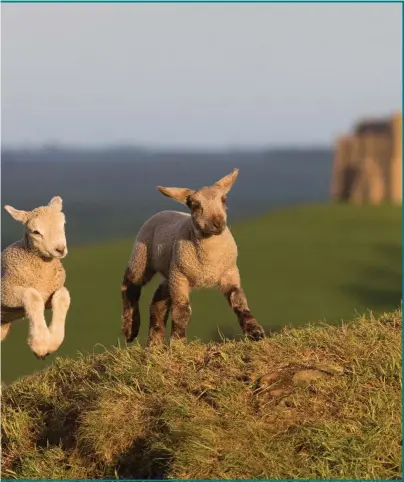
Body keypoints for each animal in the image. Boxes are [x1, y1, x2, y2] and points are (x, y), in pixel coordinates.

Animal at [1, 195, 70, 358]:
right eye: (36, 232)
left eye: (63, 224)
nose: (60, 249)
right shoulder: (5, 291)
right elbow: (32, 296)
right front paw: (40, 343)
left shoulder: (49, 293)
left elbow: (63, 297)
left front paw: (53, 341)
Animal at [120, 169, 266, 346]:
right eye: (195, 205)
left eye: (224, 199)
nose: (218, 223)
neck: (209, 260)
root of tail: (163, 212)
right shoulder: (180, 277)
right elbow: (182, 311)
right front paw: (178, 344)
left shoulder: (229, 273)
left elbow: (239, 301)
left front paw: (255, 332)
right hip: (143, 257)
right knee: (130, 285)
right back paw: (130, 329)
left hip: (169, 272)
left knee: (157, 302)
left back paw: (155, 343)